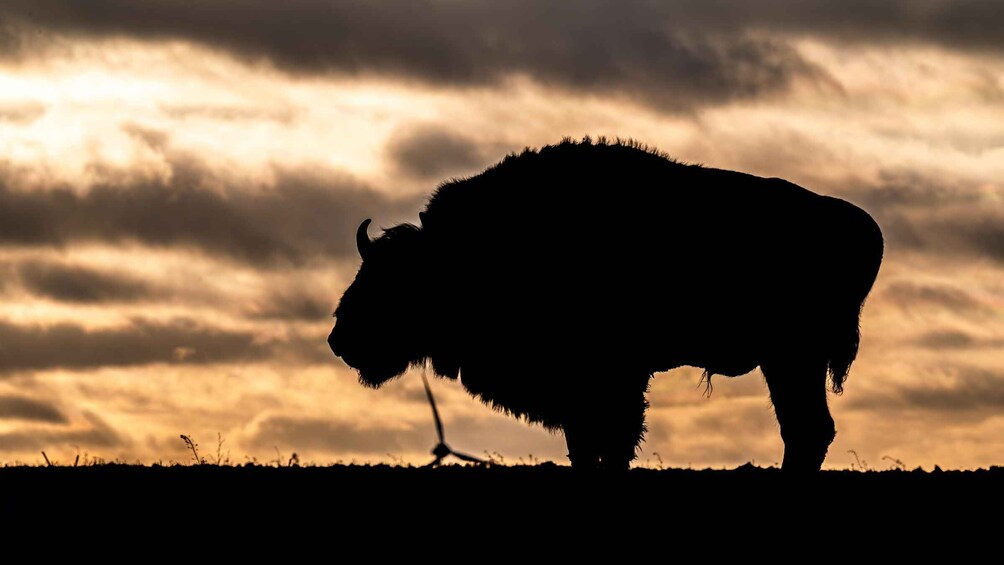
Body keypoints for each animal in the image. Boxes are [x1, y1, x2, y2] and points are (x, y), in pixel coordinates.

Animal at [329, 139, 883, 472]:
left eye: (394, 281)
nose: (339, 339)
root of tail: (861, 226)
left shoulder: (614, 379)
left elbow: (613, 439)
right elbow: (585, 443)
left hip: (794, 357)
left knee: (807, 429)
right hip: (785, 361)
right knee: (806, 429)